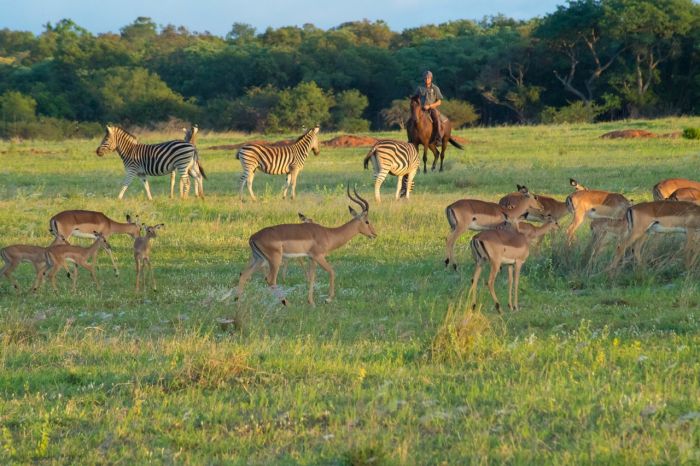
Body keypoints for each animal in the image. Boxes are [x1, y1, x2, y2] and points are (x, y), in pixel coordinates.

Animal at [237, 186, 378, 306]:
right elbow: (332, 272)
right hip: (274, 260)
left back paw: (238, 302)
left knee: (244, 275)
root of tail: (253, 237)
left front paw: (311, 302)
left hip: (258, 259)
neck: (328, 234)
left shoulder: (312, 258)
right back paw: (287, 303)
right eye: (367, 221)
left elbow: (311, 277)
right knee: (270, 280)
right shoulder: (319, 256)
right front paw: (327, 299)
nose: (374, 234)